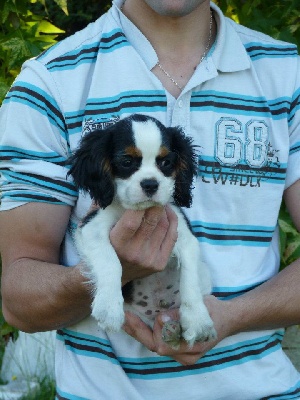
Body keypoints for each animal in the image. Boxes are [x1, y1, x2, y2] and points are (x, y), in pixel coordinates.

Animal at [68, 115, 216, 346]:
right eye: (127, 162)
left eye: (165, 162)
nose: (150, 184)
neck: (141, 211)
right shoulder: (91, 228)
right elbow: (110, 262)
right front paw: (109, 307)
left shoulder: (184, 236)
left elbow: (190, 278)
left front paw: (197, 320)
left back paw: (173, 328)